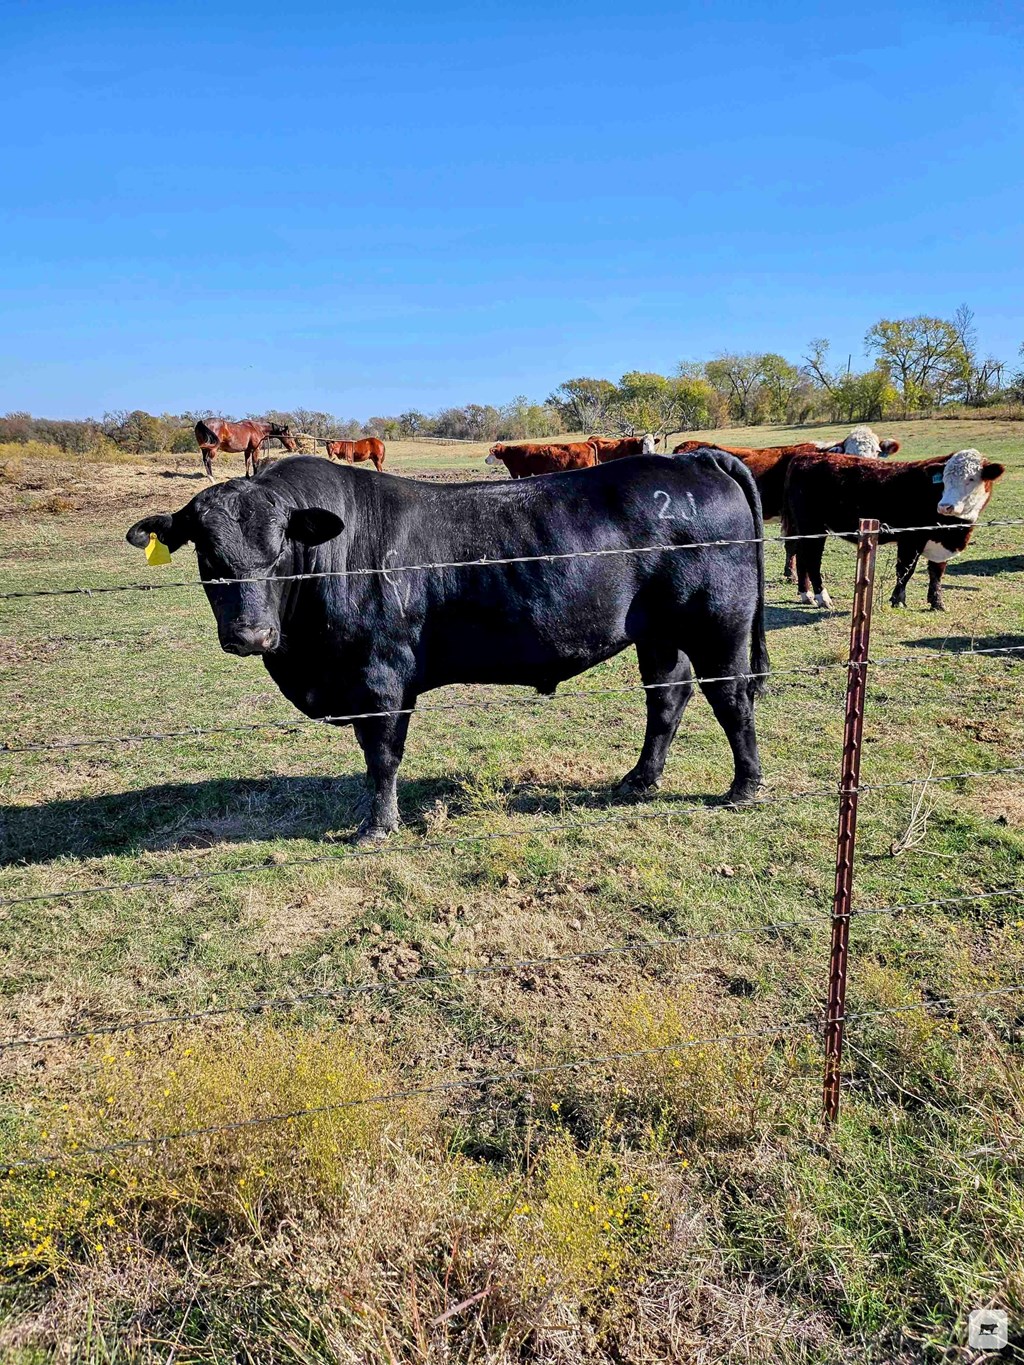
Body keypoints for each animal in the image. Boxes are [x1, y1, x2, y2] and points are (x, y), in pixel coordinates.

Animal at [126, 453, 770, 835]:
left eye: (280, 545)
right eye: (208, 554)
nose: (250, 634)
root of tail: (692, 458)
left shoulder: (380, 680)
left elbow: (381, 756)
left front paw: (378, 826)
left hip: (718, 624)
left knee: (732, 699)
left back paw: (743, 788)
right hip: (659, 634)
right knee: (668, 695)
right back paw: (639, 779)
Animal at [780, 447, 1004, 608]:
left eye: (971, 479)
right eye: (944, 479)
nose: (945, 506)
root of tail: (804, 457)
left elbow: (937, 572)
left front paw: (937, 602)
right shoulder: (911, 538)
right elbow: (906, 569)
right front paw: (898, 600)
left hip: (803, 528)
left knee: (801, 556)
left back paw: (806, 594)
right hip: (813, 527)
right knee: (812, 559)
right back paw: (822, 597)